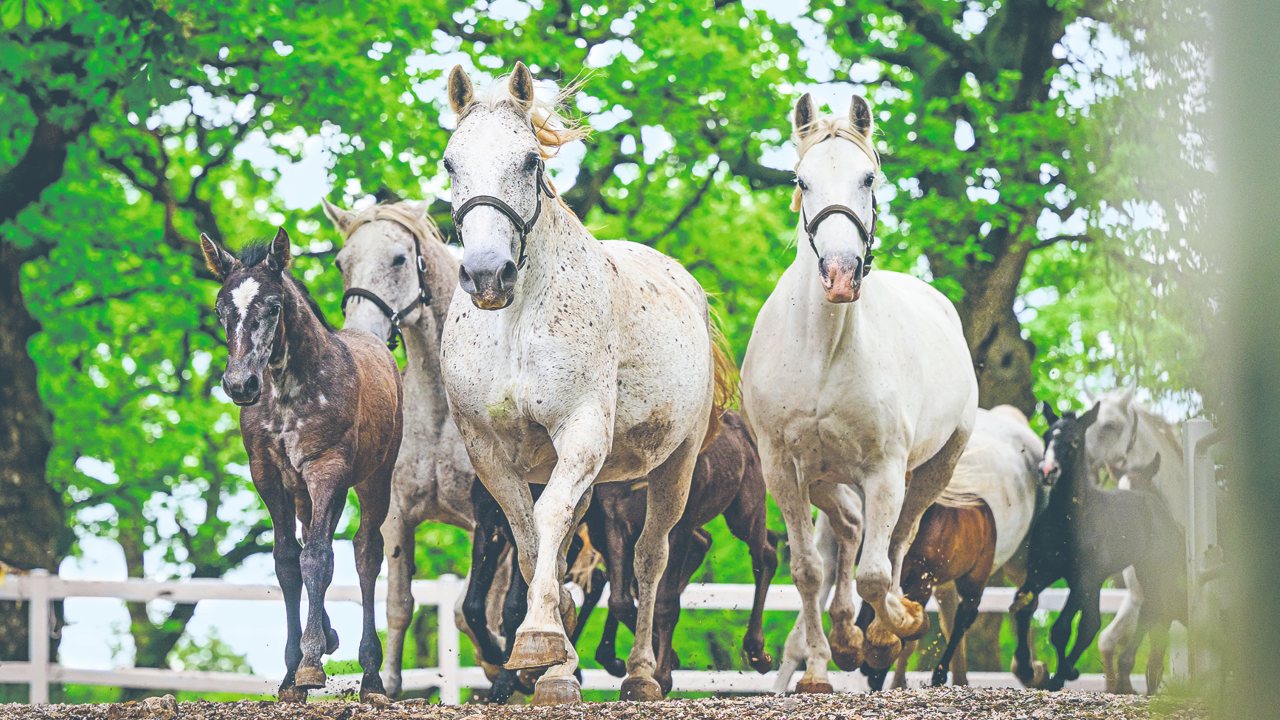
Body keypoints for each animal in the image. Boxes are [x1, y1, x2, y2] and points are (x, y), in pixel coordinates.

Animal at [320, 198, 509, 691]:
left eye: (400, 259)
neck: (441, 415)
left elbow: (471, 610)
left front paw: (499, 663)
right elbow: (400, 605)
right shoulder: (396, 517)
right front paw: (386, 684)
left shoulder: (489, 516)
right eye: (341, 263)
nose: (363, 333)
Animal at [435, 63, 732, 702]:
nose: (487, 274)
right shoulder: (488, 451)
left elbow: (548, 520)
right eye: (450, 162)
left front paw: (540, 641)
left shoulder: (581, 432)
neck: (517, 324)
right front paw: (550, 661)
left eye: (530, 160)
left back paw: (641, 674)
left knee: (650, 558)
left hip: (674, 467)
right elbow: (528, 540)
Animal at [586, 409, 773, 696]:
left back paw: (758, 654)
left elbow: (665, 602)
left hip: (746, 508)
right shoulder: (613, 521)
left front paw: (662, 676)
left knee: (765, 555)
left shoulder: (680, 522)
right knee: (709, 544)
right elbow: (620, 600)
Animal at [742, 92, 977, 691]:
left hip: (934, 468)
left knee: (895, 543)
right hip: (825, 475)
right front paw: (820, 669)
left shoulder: (884, 470)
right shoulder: (782, 468)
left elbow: (876, 570)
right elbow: (808, 570)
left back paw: (878, 633)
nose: (841, 273)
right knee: (848, 532)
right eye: (801, 180)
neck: (822, 350)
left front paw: (891, 632)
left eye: (867, 178)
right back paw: (843, 640)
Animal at [1008, 399, 1187, 691]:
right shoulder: (1041, 572)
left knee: (1145, 612)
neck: (1069, 519)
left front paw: (1060, 675)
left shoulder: (1083, 578)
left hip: (1148, 572)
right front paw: (1028, 668)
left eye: (1074, 441)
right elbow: (1024, 609)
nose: (1047, 472)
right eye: (1046, 437)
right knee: (1103, 621)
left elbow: (1061, 629)